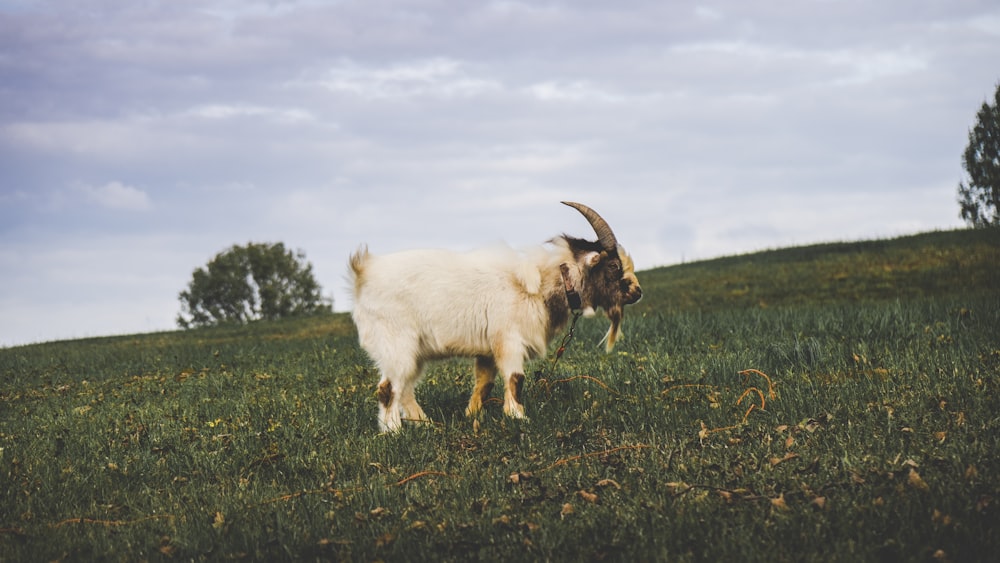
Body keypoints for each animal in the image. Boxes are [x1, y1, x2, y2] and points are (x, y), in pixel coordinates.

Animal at [348, 202, 640, 432]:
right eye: (613, 265)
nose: (637, 292)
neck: (541, 285)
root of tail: (363, 273)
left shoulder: (487, 350)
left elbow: (484, 384)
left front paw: (472, 416)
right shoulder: (509, 341)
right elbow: (515, 379)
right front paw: (519, 418)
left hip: (413, 353)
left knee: (405, 389)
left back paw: (427, 424)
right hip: (396, 345)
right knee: (388, 388)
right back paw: (394, 432)